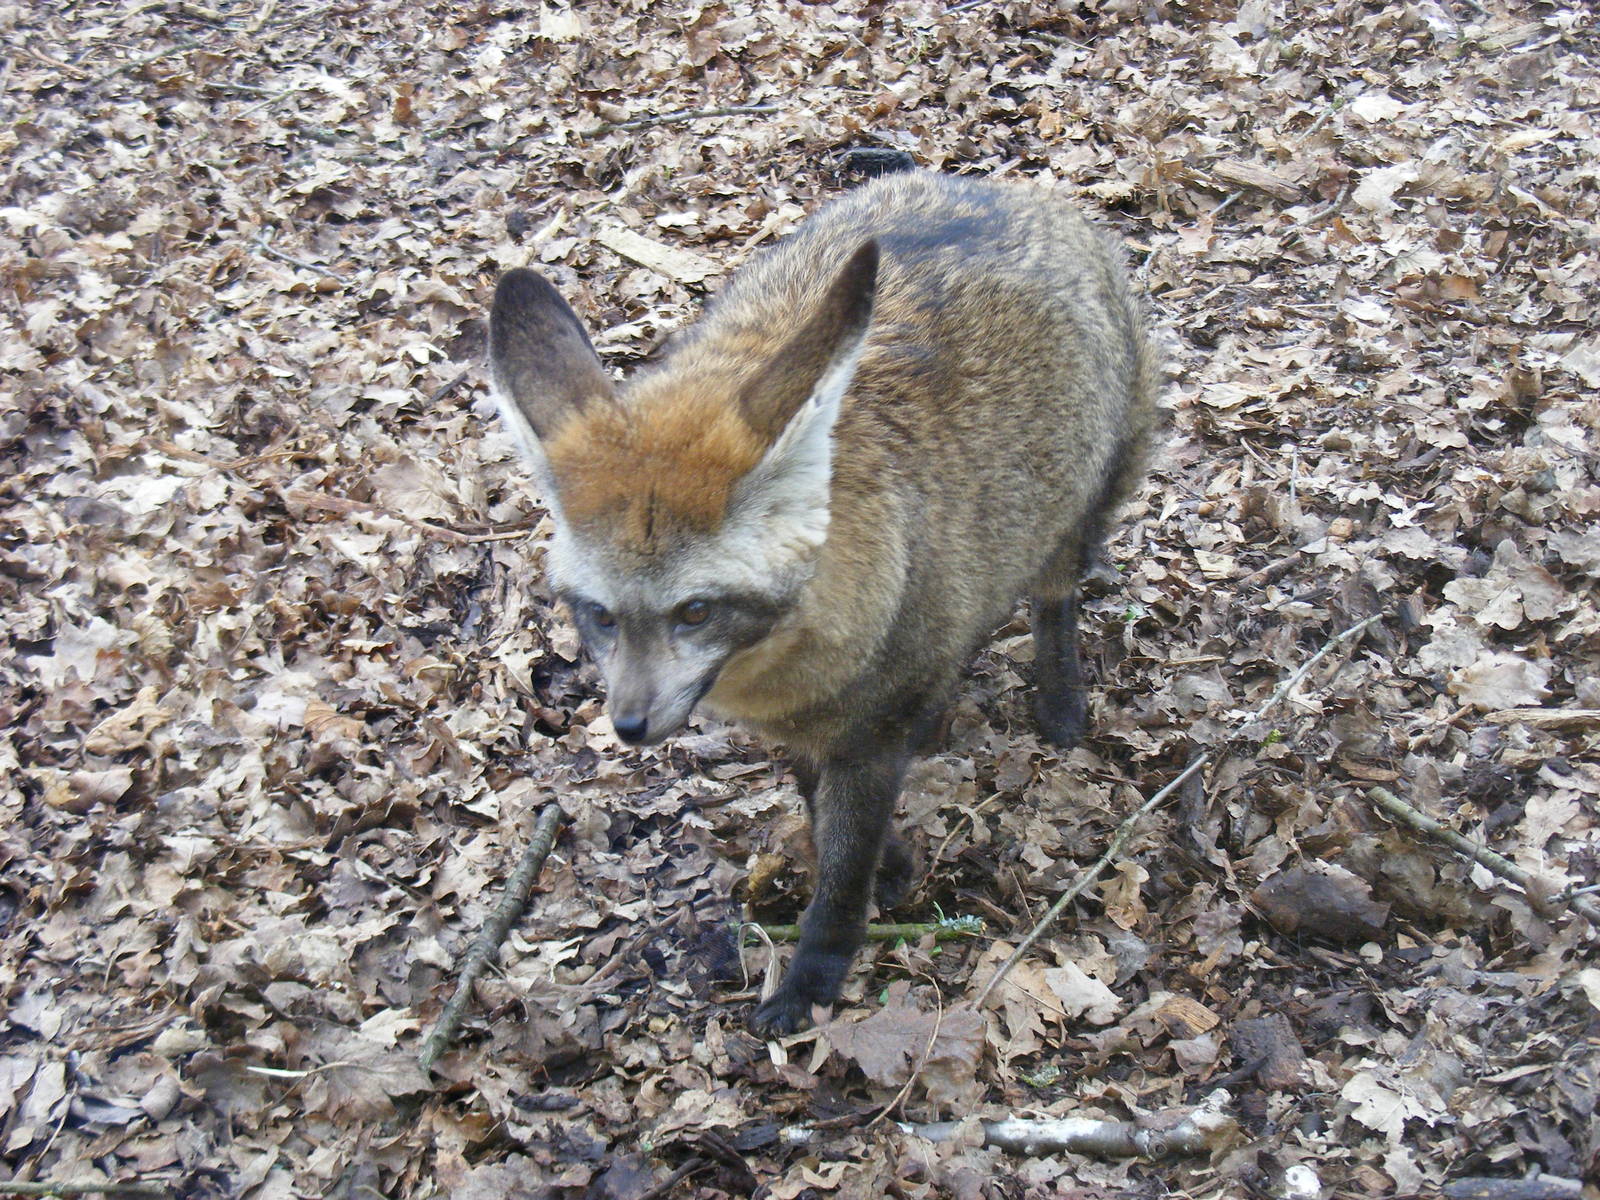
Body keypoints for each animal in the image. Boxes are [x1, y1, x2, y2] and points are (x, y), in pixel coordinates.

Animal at [487, 171, 1159, 1037]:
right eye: (600, 615)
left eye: (694, 611)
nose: (629, 726)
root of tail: (1006, 189)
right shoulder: (812, 729)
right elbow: (822, 814)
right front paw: (895, 866)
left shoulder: (869, 730)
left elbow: (842, 867)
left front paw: (815, 973)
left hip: (1080, 512)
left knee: (1055, 595)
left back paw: (1060, 697)